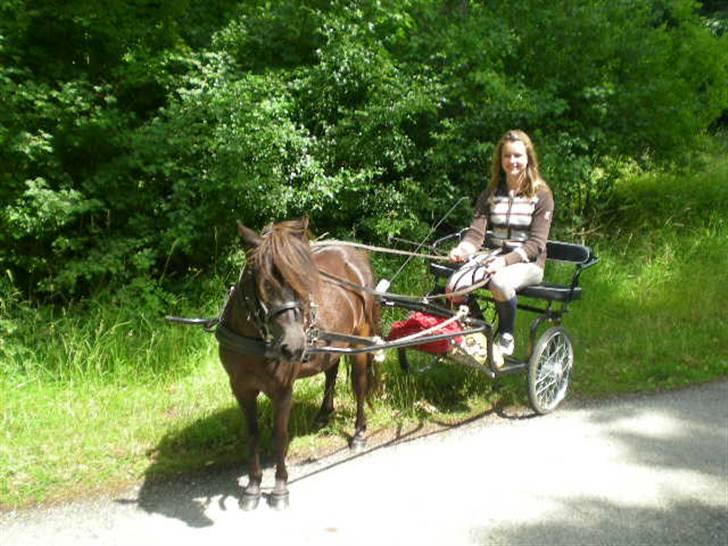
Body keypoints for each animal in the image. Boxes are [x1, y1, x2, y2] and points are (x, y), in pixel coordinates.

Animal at [219, 218, 382, 510]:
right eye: (265, 283)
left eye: (301, 282)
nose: (294, 345)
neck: (257, 340)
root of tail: (354, 253)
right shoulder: (240, 388)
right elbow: (253, 434)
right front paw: (252, 487)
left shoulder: (282, 390)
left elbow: (279, 435)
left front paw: (280, 488)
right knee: (331, 371)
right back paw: (324, 413)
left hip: (361, 342)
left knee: (359, 386)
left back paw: (359, 434)